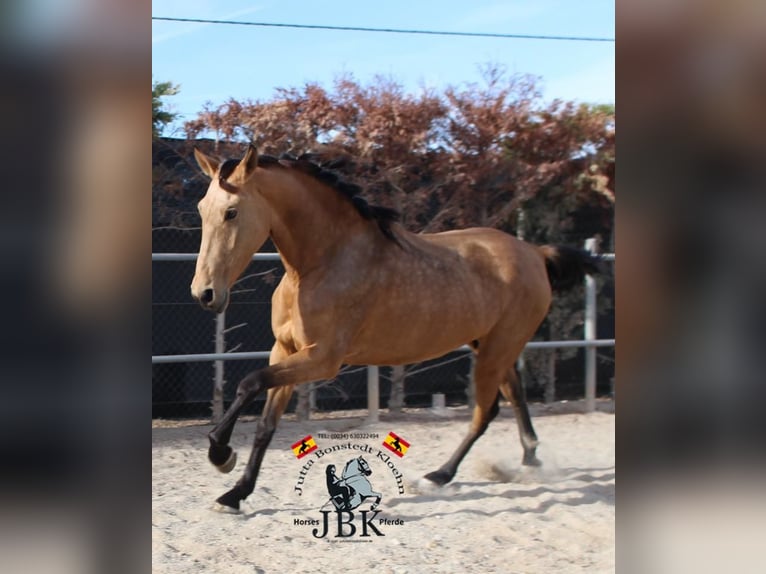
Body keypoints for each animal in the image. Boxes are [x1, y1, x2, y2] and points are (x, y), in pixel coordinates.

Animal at [190, 144, 600, 512]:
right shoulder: (285, 350)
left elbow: (250, 382)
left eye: (231, 212)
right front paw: (235, 494)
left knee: (485, 412)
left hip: (497, 350)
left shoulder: (322, 359)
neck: (322, 263)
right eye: (201, 210)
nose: (204, 294)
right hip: (493, 346)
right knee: (515, 396)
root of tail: (535, 253)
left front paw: (220, 452)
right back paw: (530, 460)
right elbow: (265, 425)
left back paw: (438, 476)